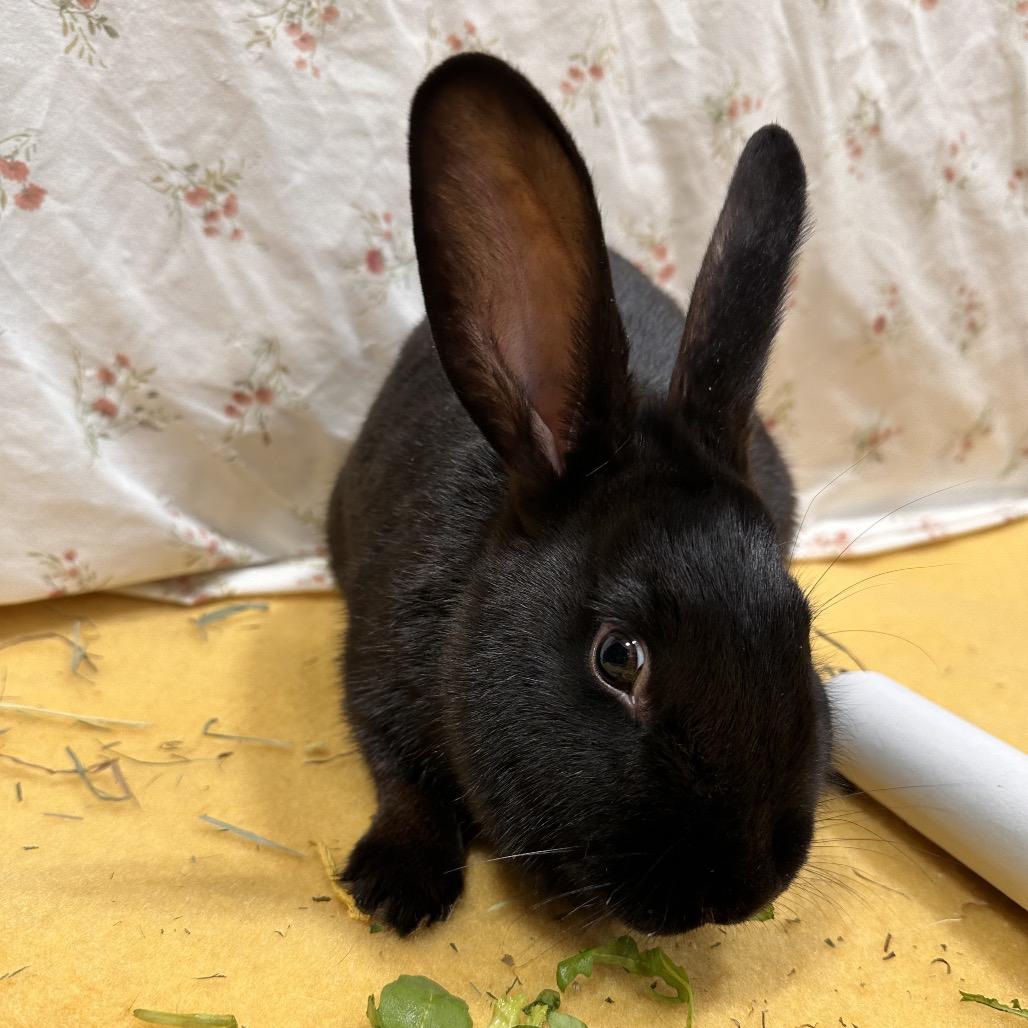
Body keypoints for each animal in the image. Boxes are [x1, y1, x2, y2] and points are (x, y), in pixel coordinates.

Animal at [327, 52, 832, 937]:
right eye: (617, 657)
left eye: (801, 628)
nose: (742, 890)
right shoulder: (375, 676)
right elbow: (400, 779)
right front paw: (396, 889)